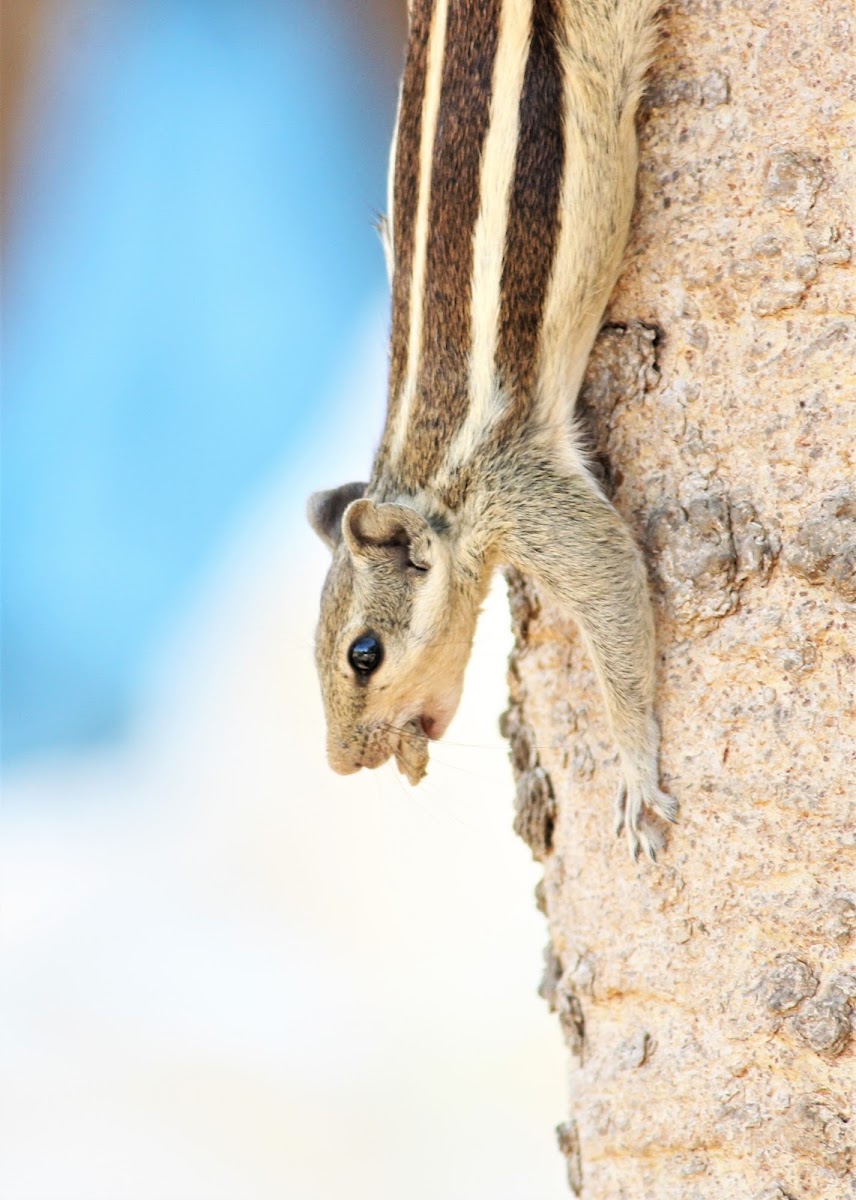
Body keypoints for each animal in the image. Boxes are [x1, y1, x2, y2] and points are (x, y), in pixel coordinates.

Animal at [307, 0, 672, 864]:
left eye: (364, 654)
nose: (342, 764)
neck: (426, 470)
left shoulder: (521, 491)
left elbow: (613, 583)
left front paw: (635, 774)